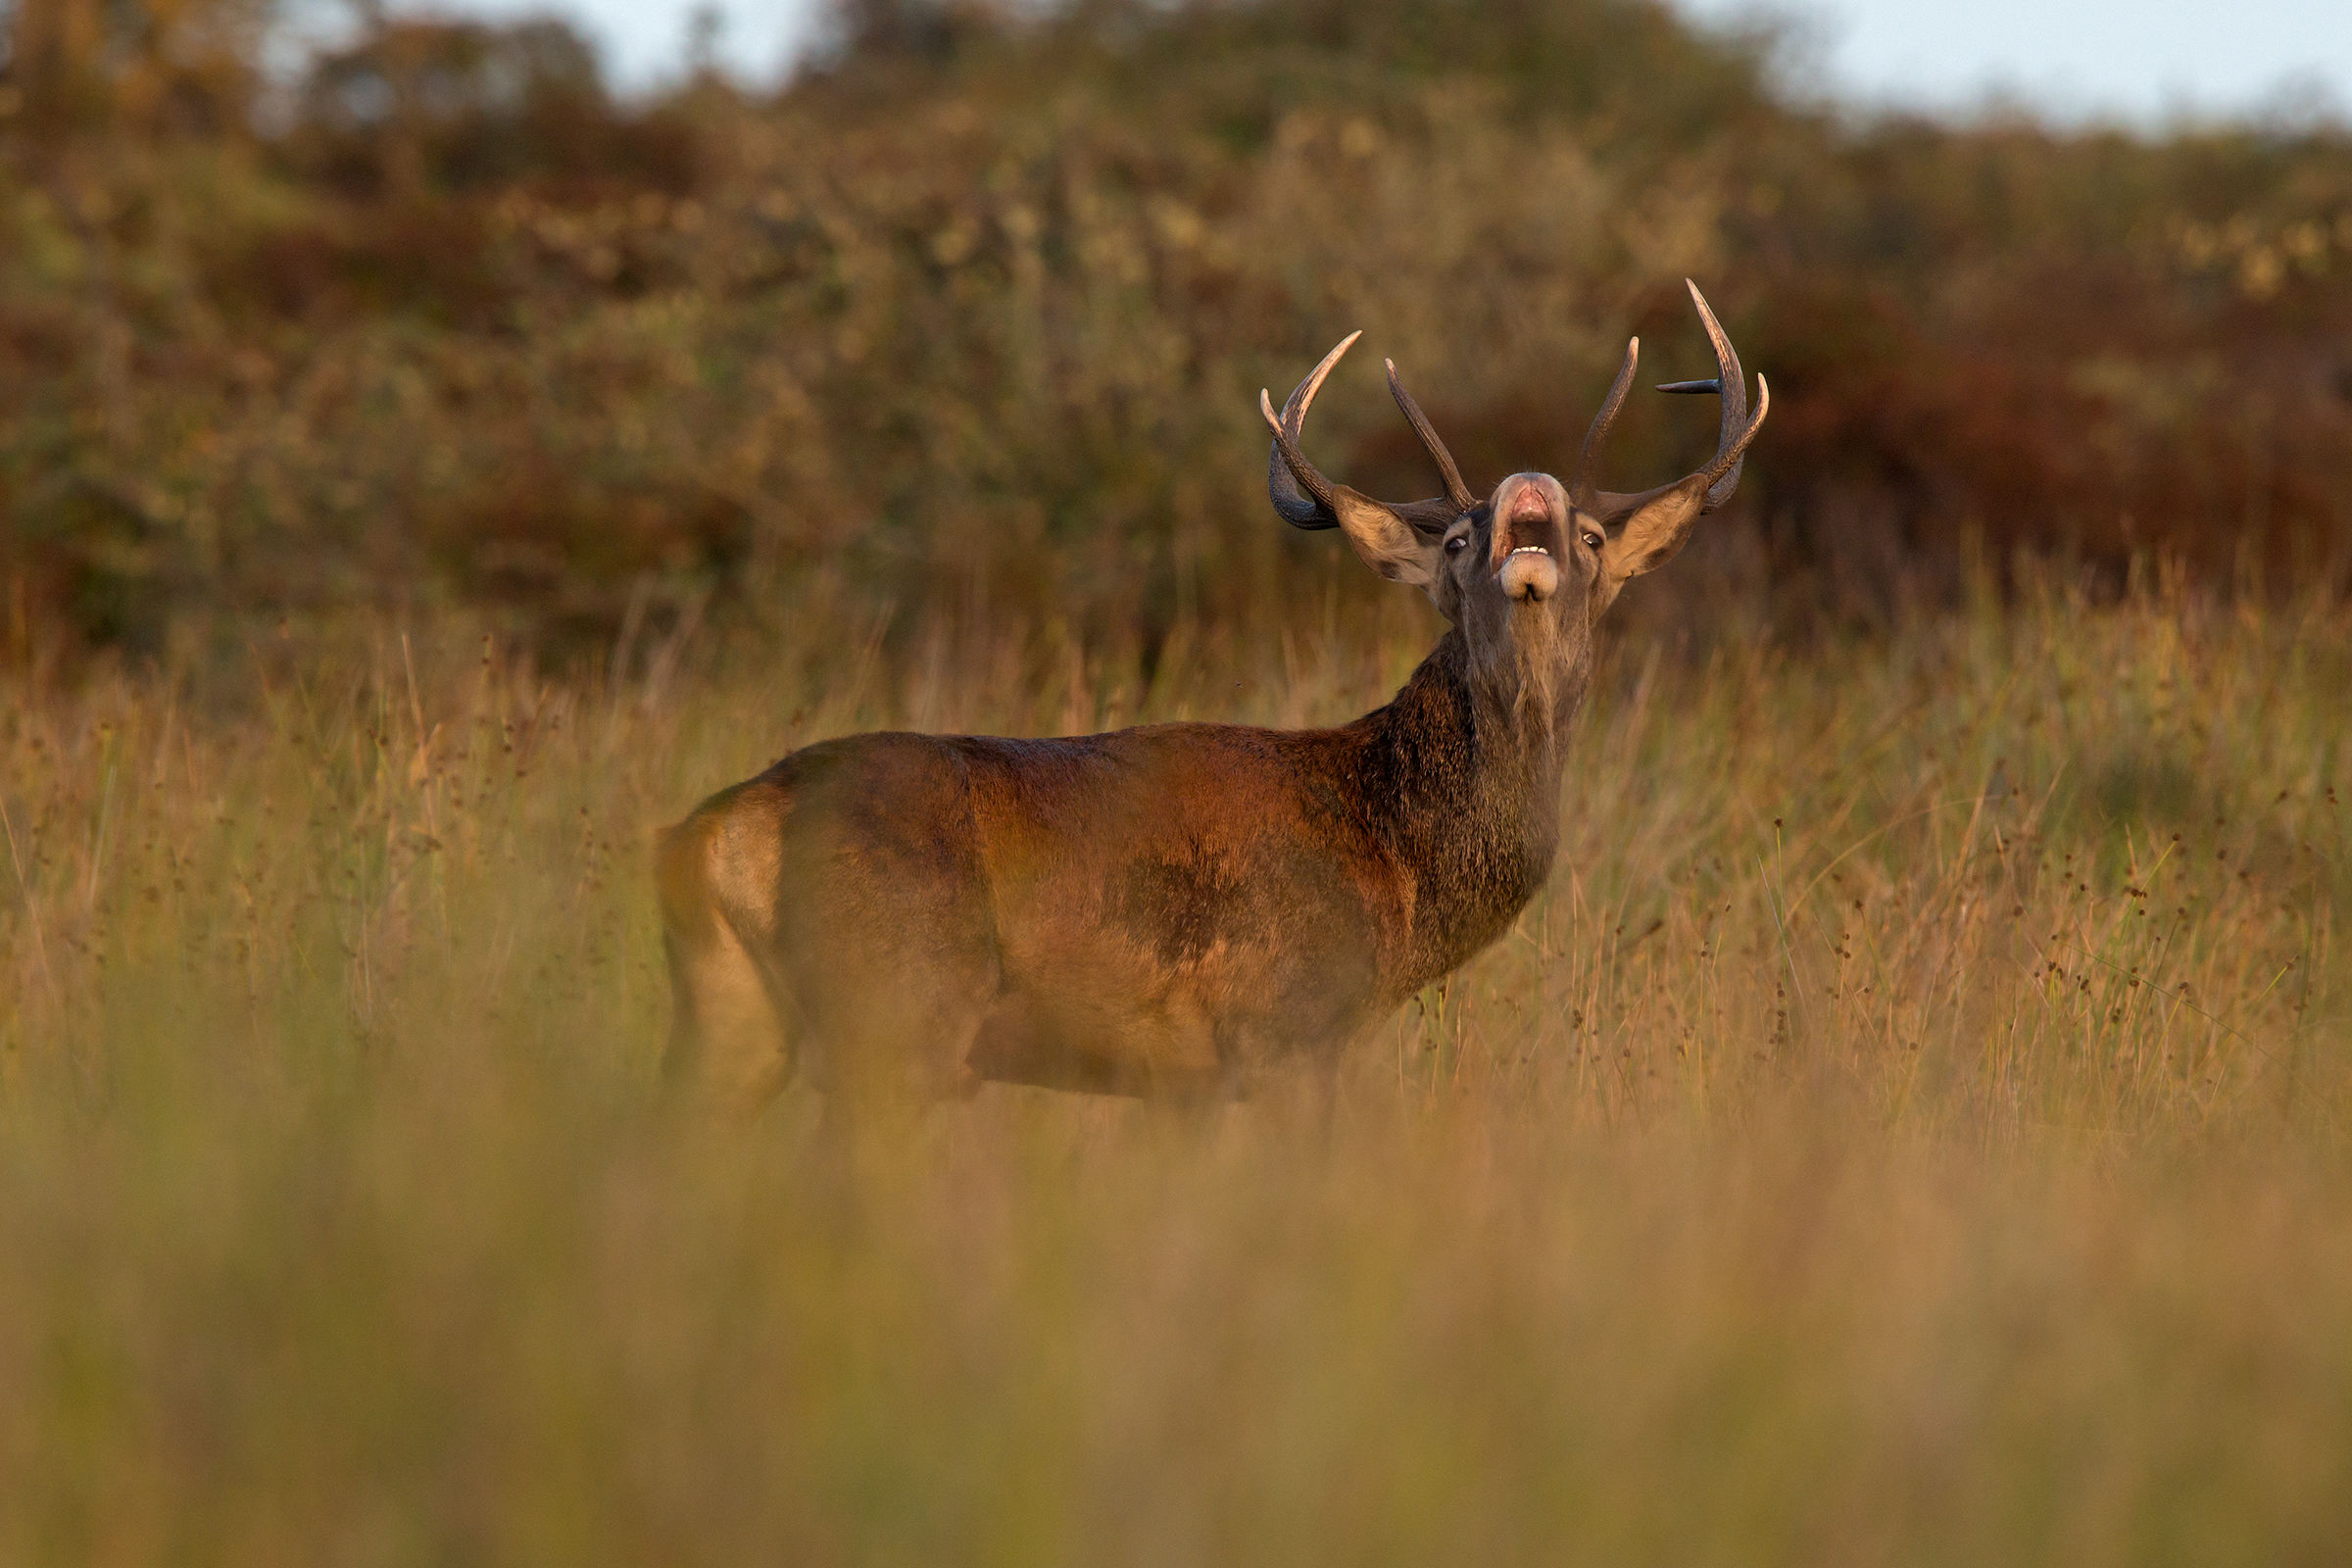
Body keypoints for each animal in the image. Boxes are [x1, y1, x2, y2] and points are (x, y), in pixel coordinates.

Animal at [657, 281, 1766, 1116]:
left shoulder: (1185, 1081)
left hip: (736, 1021)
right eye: (1455, 540)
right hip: (897, 1014)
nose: (1527, 495)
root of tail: (726, 830)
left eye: (1592, 535)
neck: (1395, 857)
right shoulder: (1286, 1027)